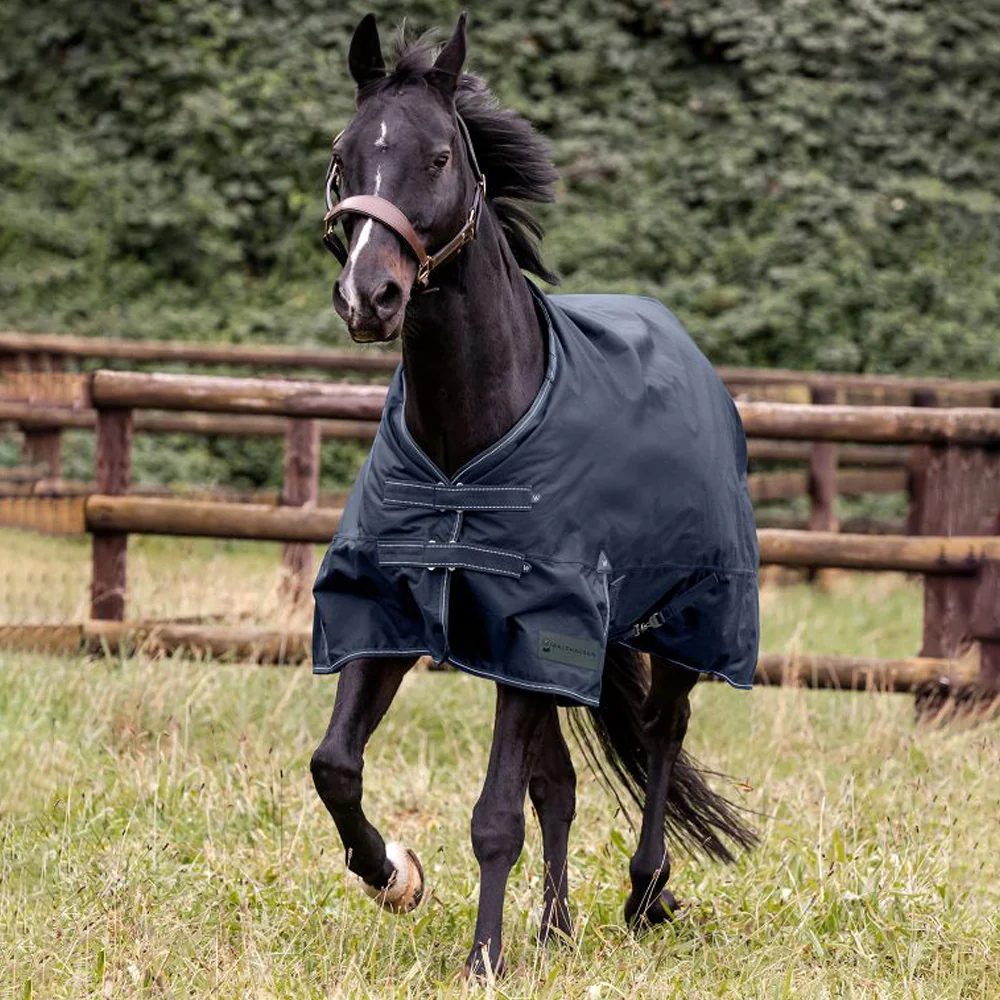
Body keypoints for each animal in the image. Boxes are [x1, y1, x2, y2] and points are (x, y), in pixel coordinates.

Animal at [309, 12, 760, 978]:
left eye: (439, 156)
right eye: (343, 153)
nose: (371, 295)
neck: (467, 445)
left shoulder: (540, 622)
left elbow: (493, 815)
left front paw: (483, 958)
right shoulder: (401, 610)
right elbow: (336, 764)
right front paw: (395, 875)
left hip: (682, 619)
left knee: (662, 735)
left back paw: (645, 892)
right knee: (562, 782)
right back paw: (555, 925)